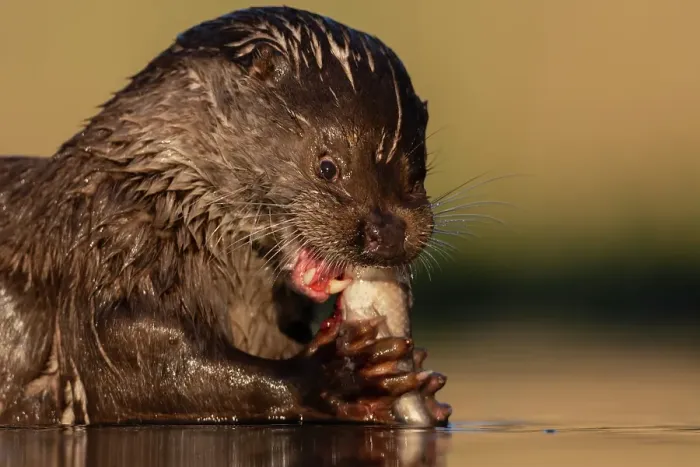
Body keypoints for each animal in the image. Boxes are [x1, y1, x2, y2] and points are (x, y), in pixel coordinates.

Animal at [0, 6, 450, 426]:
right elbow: (133, 369)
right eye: (327, 166)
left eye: (417, 174)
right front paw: (339, 375)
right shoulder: (108, 252)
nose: (388, 232)